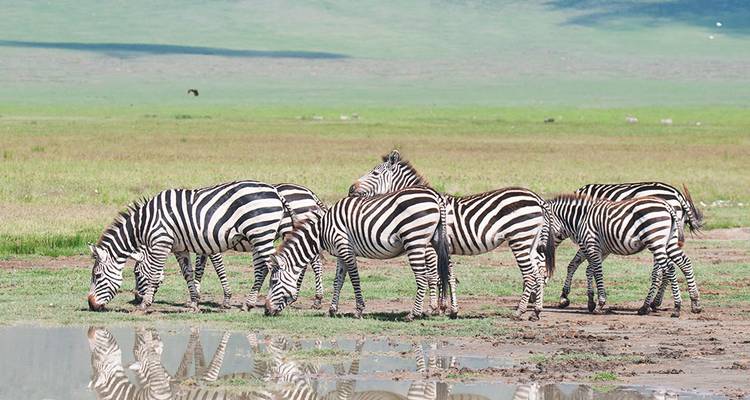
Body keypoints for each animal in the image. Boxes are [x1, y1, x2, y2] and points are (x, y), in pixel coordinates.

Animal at [88, 180, 285, 312]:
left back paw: (269, 304)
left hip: (261, 233)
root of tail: (274, 191)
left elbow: (154, 274)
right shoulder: (180, 247)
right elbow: (188, 273)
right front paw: (194, 302)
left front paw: (145, 305)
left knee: (274, 266)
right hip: (260, 236)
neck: (145, 223)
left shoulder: (162, 242)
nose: (90, 304)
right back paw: (252, 303)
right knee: (265, 267)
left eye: (97, 276)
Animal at [133, 182, 328, 310]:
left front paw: (225, 298)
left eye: (136, 273)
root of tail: (310, 193)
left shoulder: (210, 242)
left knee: (313, 262)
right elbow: (200, 268)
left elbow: (215, 267)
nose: (135, 298)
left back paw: (316, 299)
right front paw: (195, 295)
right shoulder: (203, 243)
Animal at [265, 186, 453, 321]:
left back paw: (413, 314)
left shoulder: (345, 248)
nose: (266, 310)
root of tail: (435, 195)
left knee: (422, 277)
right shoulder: (340, 253)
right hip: (433, 241)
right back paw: (432, 310)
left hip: (415, 240)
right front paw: (332, 309)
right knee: (435, 275)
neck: (321, 231)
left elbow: (354, 279)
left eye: (273, 282)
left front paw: (359, 310)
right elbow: (338, 281)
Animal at [347, 150, 556, 321]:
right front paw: (449, 309)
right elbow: (448, 275)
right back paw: (536, 311)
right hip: (531, 241)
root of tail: (537, 198)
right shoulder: (444, 249)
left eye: (374, 173)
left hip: (519, 239)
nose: (350, 189)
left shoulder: (430, 249)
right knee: (539, 272)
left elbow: (433, 276)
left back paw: (519, 312)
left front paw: (433, 309)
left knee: (529, 274)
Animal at [558, 182, 703, 312]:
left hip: (656, 236)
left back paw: (650, 304)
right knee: (672, 266)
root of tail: (678, 194)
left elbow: (574, 264)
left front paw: (564, 297)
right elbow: (586, 266)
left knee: (661, 271)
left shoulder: (587, 238)